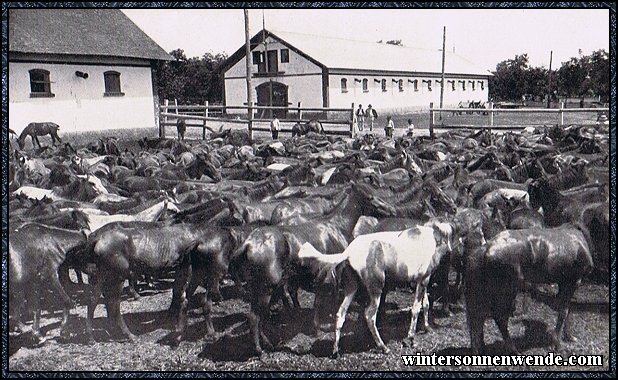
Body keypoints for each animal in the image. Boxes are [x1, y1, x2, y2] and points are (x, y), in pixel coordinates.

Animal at [466, 224, 592, 354]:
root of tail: (484, 249)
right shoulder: (574, 280)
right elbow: (564, 310)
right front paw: (557, 344)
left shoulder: (564, 282)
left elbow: (566, 309)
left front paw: (569, 336)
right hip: (507, 288)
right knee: (498, 318)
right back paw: (513, 350)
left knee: (478, 317)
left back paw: (480, 348)